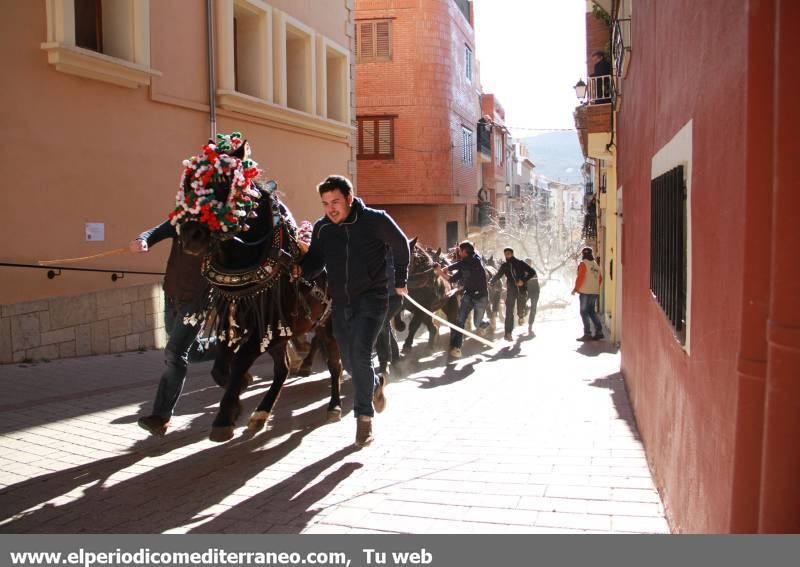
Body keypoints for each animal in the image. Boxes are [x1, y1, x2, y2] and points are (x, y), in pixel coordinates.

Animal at [173, 134, 342, 444]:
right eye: (188, 184)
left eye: (224, 184)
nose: (192, 236)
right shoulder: (239, 321)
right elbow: (221, 368)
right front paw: (238, 398)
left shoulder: (267, 328)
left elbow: (240, 361)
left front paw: (225, 415)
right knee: (282, 369)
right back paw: (262, 412)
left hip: (327, 325)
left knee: (335, 363)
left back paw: (334, 405)